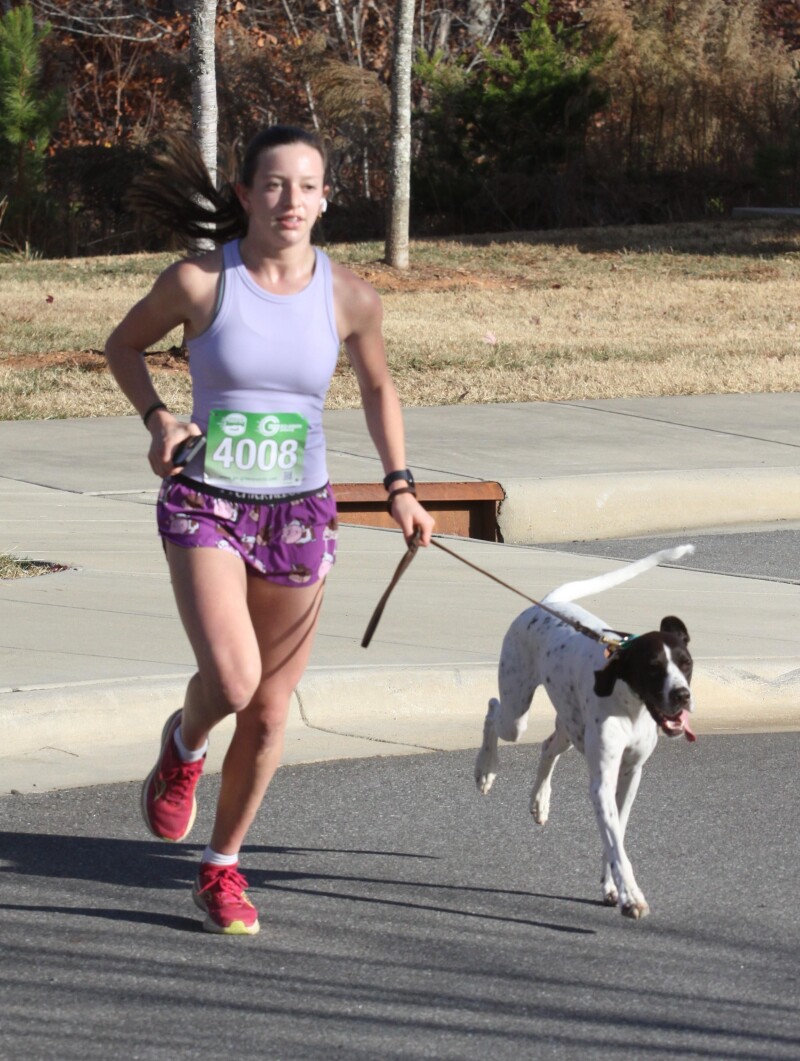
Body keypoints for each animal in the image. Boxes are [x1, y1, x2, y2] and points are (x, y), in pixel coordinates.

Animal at [473, 547, 691, 920]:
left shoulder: (630, 775)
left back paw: (540, 800)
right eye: (653, 668)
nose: (682, 695)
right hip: (516, 712)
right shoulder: (602, 781)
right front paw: (631, 895)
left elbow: (616, 835)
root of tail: (549, 602)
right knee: (492, 710)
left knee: (548, 746)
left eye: (686, 663)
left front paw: (612, 887)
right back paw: (485, 769)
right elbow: (616, 843)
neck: (630, 704)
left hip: (571, 727)